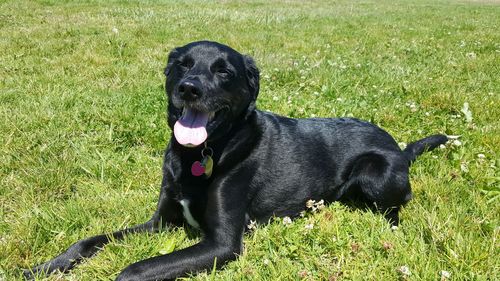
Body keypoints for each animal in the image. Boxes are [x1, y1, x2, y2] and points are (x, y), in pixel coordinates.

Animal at [24, 40, 446, 278]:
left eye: (224, 71)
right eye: (183, 64)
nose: (188, 89)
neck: (203, 152)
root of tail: (398, 145)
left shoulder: (222, 244)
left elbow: (133, 269)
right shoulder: (161, 223)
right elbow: (87, 241)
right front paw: (44, 267)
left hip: (375, 172)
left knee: (397, 207)